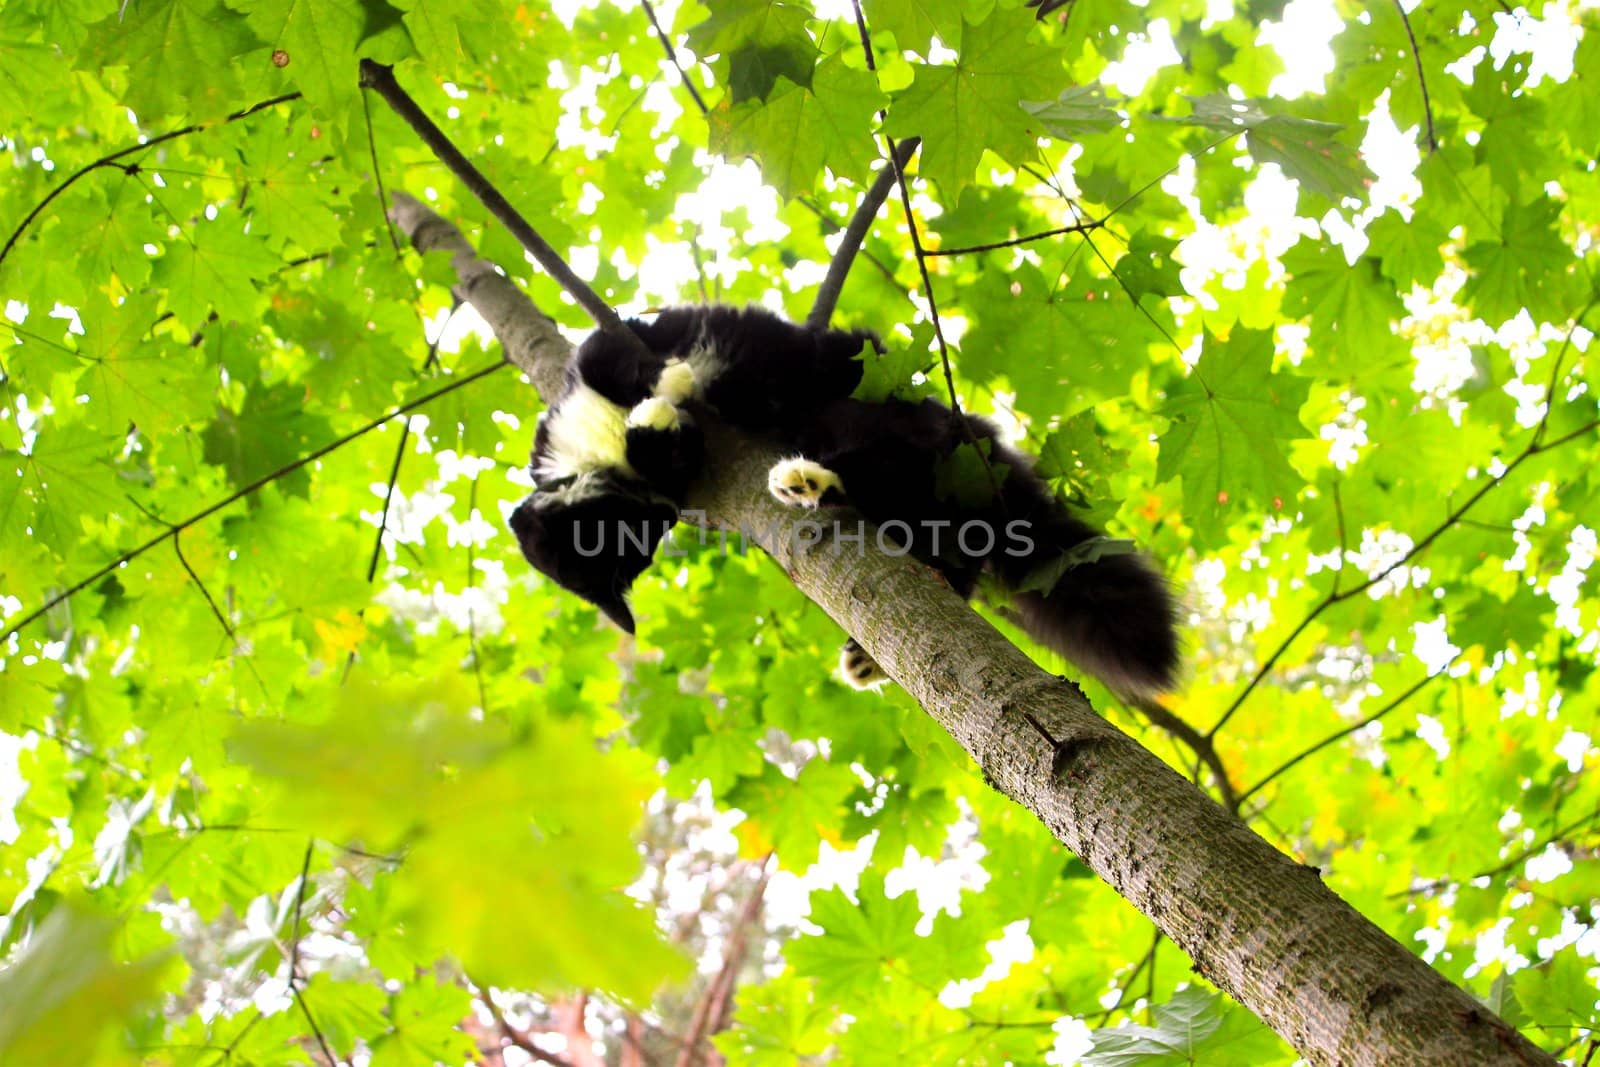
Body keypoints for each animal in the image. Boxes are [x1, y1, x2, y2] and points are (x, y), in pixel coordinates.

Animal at [505, 303, 1184, 697]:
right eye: (635, 554)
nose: (664, 518)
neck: (598, 465)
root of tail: (972, 444)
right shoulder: (677, 471)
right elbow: (661, 442)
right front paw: (658, 415)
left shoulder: (623, 348)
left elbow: (619, 359)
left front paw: (668, 383)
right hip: (912, 494)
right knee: (945, 549)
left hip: (867, 396)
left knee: (884, 445)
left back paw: (803, 477)